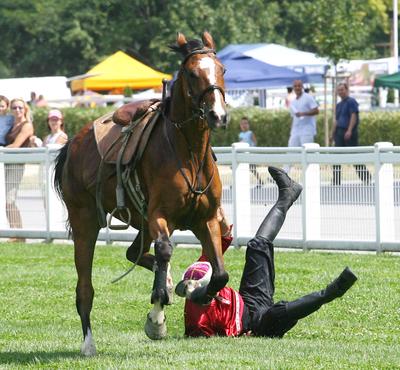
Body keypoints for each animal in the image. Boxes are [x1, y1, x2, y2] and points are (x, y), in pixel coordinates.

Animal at [53, 31, 228, 352]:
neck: (189, 153)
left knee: (136, 252)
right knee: (85, 287)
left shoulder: (206, 220)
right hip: (86, 222)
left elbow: (220, 273)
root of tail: (72, 144)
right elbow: (165, 251)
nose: (217, 114)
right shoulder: (159, 216)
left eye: (222, 69)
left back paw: (171, 280)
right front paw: (157, 319)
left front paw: (196, 290)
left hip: (141, 223)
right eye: (192, 73)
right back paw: (88, 344)